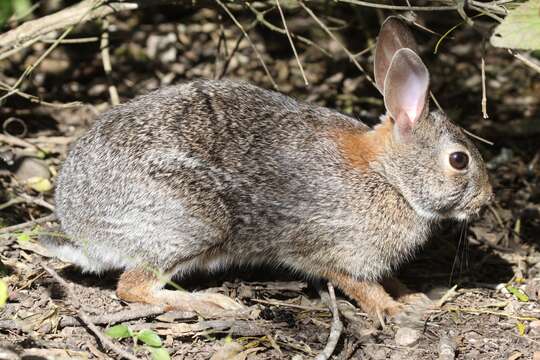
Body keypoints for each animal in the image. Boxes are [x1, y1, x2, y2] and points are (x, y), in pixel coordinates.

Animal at [42, 16, 494, 320]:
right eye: (459, 160)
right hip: (191, 223)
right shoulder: (328, 247)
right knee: (132, 287)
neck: (390, 177)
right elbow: (357, 283)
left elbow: (388, 277)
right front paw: (392, 310)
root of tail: (81, 229)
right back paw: (212, 302)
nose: (487, 201)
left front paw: (413, 296)